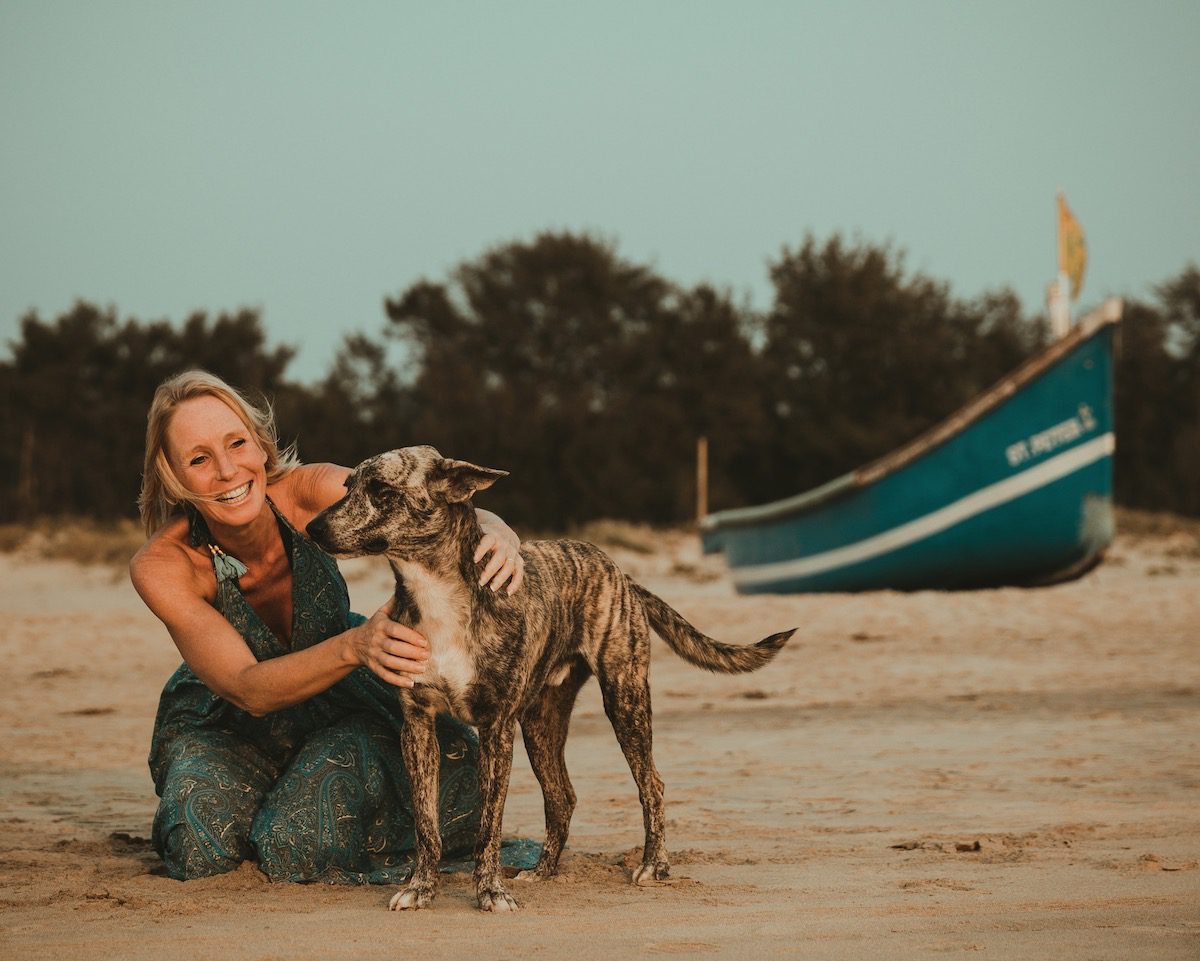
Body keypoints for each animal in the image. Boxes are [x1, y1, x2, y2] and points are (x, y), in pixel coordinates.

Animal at [307, 446, 796, 911]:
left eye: (380, 490)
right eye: (347, 485)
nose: (312, 528)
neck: (438, 594)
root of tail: (621, 572)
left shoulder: (496, 728)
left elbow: (489, 826)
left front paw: (491, 892)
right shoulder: (418, 725)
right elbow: (427, 824)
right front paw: (420, 888)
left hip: (625, 700)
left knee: (651, 784)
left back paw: (652, 864)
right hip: (541, 721)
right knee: (562, 796)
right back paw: (543, 871)